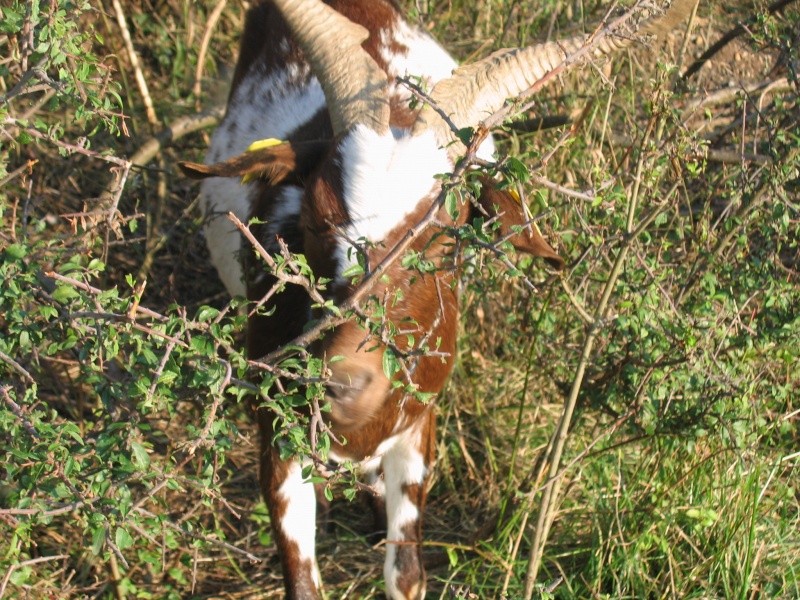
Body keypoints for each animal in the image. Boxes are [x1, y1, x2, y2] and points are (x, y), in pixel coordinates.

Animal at [180, 0, 688, 596]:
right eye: (312, 219)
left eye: (448, 236)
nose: (342, 385)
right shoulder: (275, 430)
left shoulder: (420, 424)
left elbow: (407, 574)